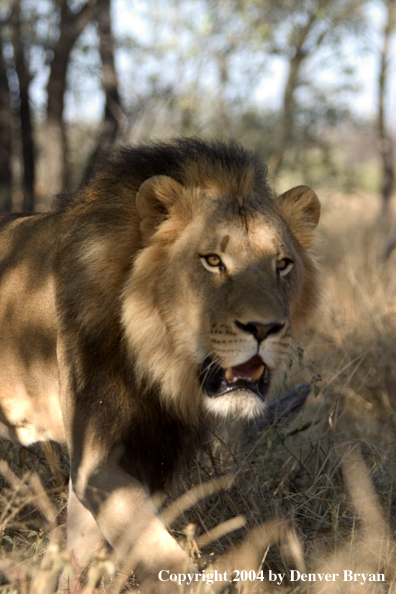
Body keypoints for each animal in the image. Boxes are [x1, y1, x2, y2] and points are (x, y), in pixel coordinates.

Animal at [0, 139, 320, 588]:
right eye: (213, 261)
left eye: (283, 264)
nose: (264, 327)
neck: (160, 367)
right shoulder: (97, 461)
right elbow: (162, 557)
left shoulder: (149, 459)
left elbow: (82, 552)